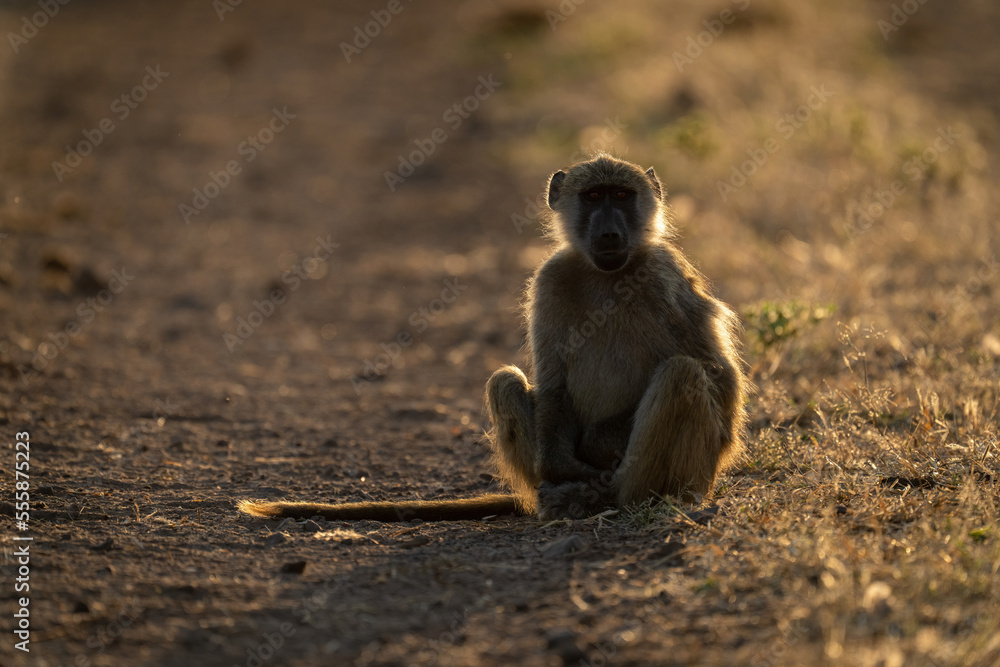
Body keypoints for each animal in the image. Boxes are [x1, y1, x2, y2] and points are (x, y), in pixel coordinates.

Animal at [239, 153, 746, 523]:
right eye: (593, 196)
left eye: (622, 196)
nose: (608, 232)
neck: (608, 275)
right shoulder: (549, 280)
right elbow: (553, 383)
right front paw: (567, 469)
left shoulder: (666, 275)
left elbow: (720, 378)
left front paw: (601, 447)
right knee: (504, 382)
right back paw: (564, 497)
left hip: (689, 476)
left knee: (682, 375)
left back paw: (615, 500)